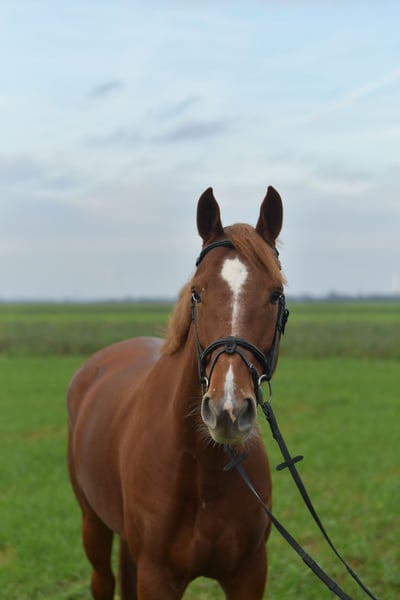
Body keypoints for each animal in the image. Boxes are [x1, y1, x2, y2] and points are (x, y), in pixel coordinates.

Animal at [67, 186, 287, 599]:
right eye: (197, 293)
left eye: (275, 294)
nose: (228, 410)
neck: (203, 472)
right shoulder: (158, 577)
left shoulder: (250, 573)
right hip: (93, 524)